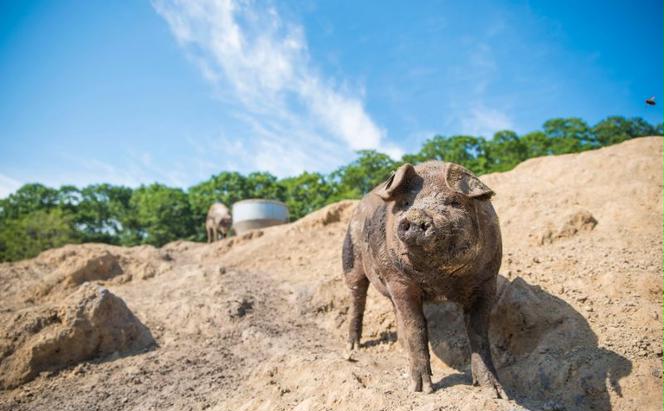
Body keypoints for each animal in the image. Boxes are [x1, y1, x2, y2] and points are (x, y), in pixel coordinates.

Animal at [342, 162, 508, 400]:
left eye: (454, 202)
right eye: (406, 203)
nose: (416, 216)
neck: (440, 279)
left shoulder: (487, 280)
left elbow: (479, 332)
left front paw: (496, 393)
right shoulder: (400, 282)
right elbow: (417, 327)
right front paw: (422, 390)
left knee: (394, 309)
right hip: (351, 258)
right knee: (357, 297)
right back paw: (353, 347)